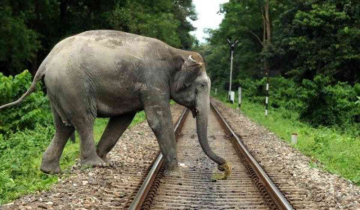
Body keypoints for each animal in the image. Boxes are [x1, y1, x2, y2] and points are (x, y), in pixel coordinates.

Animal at [0, 30, 229, 176]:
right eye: (201, 86)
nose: (224, 166)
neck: (177, 52)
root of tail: (46, 62)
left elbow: (122, 120)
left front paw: (107, 159)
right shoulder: (153, 82)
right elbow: (158, 120)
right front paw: (175, 171)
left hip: (57, 89)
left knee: (63, 127)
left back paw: (51, 170)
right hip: (72, 85)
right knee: (84, 119)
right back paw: (94, 165)